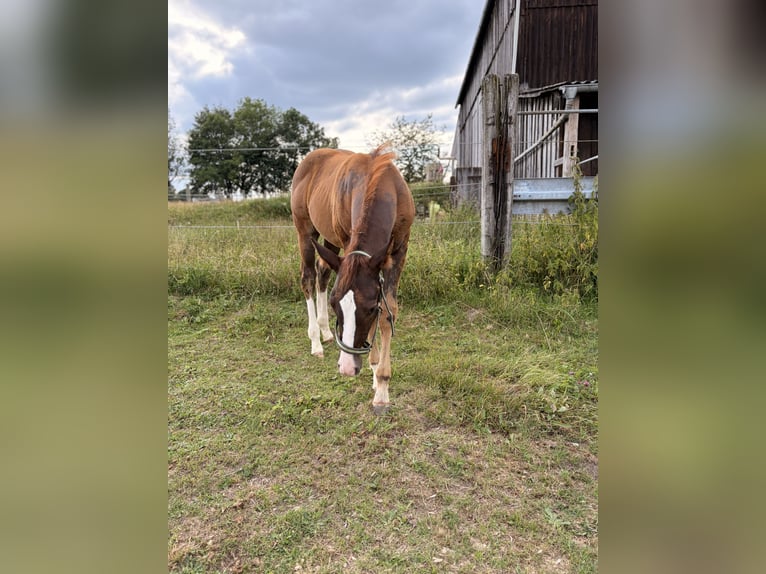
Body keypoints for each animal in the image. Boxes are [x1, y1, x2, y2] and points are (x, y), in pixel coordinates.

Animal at [290, 144, 415, 414]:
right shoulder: (347, 241)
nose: (347, 368)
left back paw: (326, 332)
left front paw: (381, 385)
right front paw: (375, 370)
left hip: (328, 240)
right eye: (335, 305)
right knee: (308, 277)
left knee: (323, 272)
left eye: (369, 309)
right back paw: (316, 341)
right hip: (305, 230)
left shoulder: (399, 250)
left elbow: (388, 313)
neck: (379, 183)